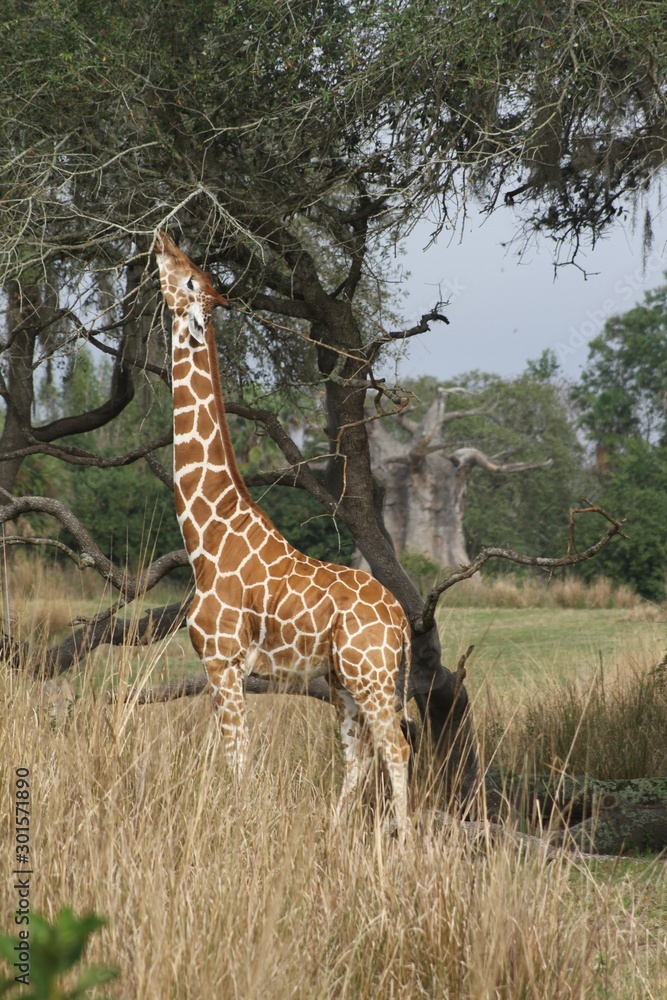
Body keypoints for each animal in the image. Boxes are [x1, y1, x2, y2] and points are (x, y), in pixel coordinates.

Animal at [153, 231, 411, 836]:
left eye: (191, 277)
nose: (160, 238)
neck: (207, 537)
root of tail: (403, 625)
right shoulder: (223, 667)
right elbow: (235, 756)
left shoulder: (223, 661)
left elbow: (239, 759)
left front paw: (239, 831)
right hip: (343, 682)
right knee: (358, 753)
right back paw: (337, 834)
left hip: (371, 676)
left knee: (396, 748)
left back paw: (406, 845)